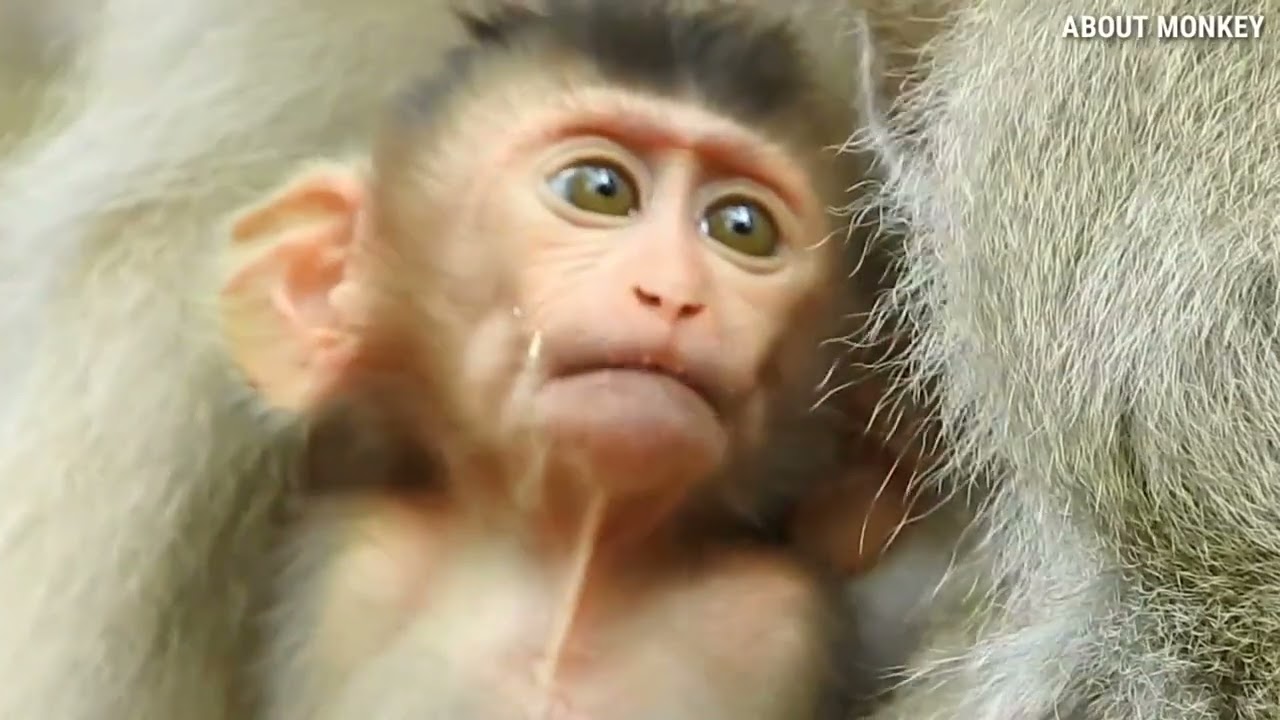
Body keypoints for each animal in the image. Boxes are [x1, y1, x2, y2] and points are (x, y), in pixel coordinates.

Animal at [0, 0, 982, 718]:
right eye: (600, 189)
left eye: (742, 228)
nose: (674, 295)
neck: (567, 582)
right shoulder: (369, 568)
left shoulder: (764, 618)